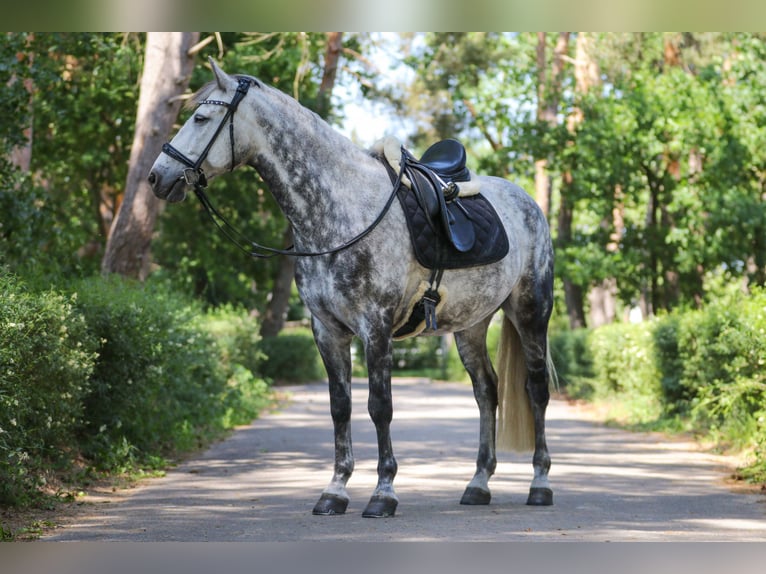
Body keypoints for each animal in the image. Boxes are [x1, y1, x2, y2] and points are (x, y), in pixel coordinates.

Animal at [148, 60, 556, 518]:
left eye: (201, 119)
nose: (156, 177)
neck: (341, 210)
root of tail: (526, 202)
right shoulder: (327, 330)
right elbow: (340, 406)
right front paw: (335, 490)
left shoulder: (375, 327)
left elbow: (380, 406)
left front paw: (383, 492)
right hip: (471, 325)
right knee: (486, 392)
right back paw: (478, 483)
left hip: (531, 312)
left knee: (536, 390)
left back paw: (540, 484)